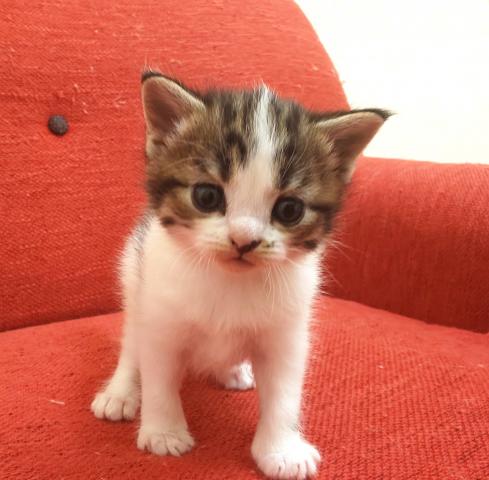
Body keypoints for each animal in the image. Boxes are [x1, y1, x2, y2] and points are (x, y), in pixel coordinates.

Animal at [91, 71, 389, 479]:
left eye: (290, 209)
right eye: (206, 196)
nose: (243, 241)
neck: (230, 280)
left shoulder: (287, 332)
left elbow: (284, 391)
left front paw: (281, 450)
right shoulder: (160, 315)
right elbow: (157, 374)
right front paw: (164, 432)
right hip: (135, 282)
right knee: (131, 344)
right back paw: (119, 392)